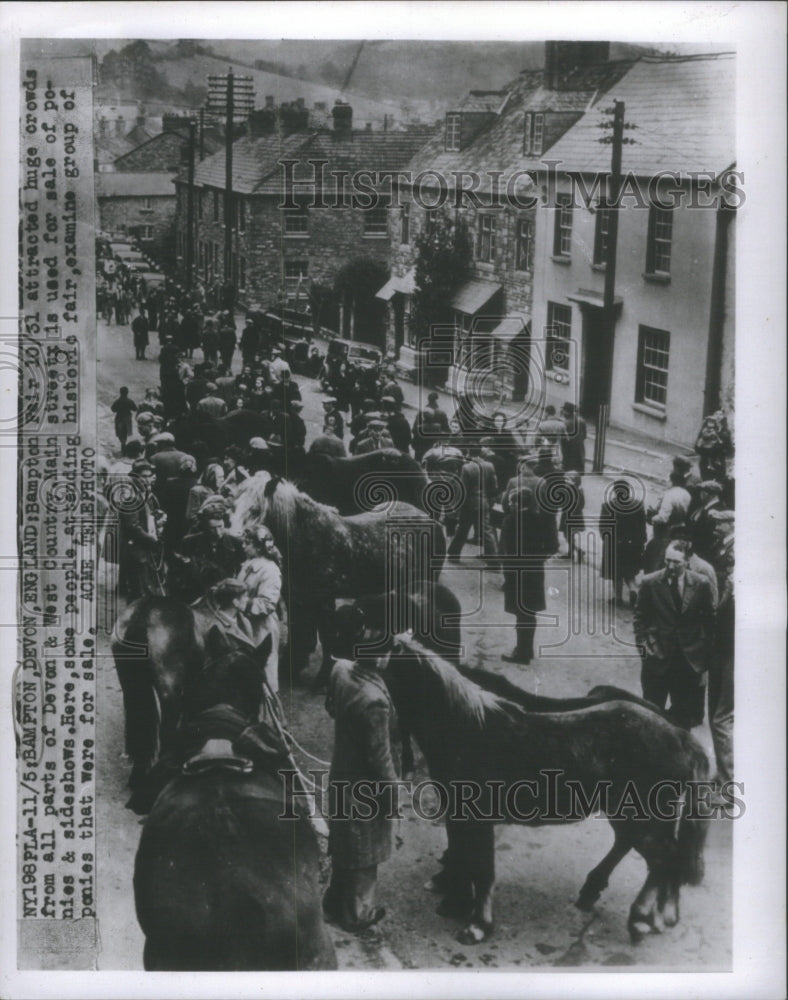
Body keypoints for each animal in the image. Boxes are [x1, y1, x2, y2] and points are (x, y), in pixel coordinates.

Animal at [386, 640, 708, 944]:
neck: (468, 729)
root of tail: (681, 737)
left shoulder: (477, 819)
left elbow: (482, 867)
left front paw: (477, 925)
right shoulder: (458, 815)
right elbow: (463, 854)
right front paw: (455, 901)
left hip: (642, 816)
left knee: (665, 857)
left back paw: (643, 918)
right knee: (648, 851)